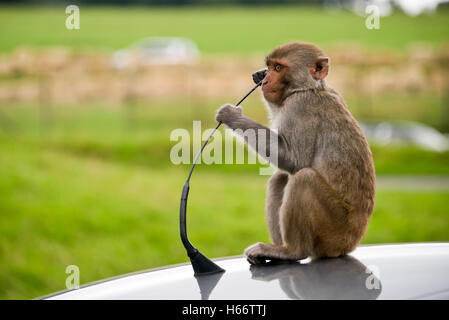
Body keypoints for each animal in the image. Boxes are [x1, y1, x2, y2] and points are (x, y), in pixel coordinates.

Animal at [215, 41, 376, 264]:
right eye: (271, 67)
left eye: (278, 68)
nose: (266, 80)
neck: (310, 87)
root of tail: (350, 245)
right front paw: (259, 75)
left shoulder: (300, 105)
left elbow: (294, 160)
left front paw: (231, 115)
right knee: (280, 179)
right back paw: (278, 250)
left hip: (335, 230)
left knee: (303, 178)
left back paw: (292, 251)